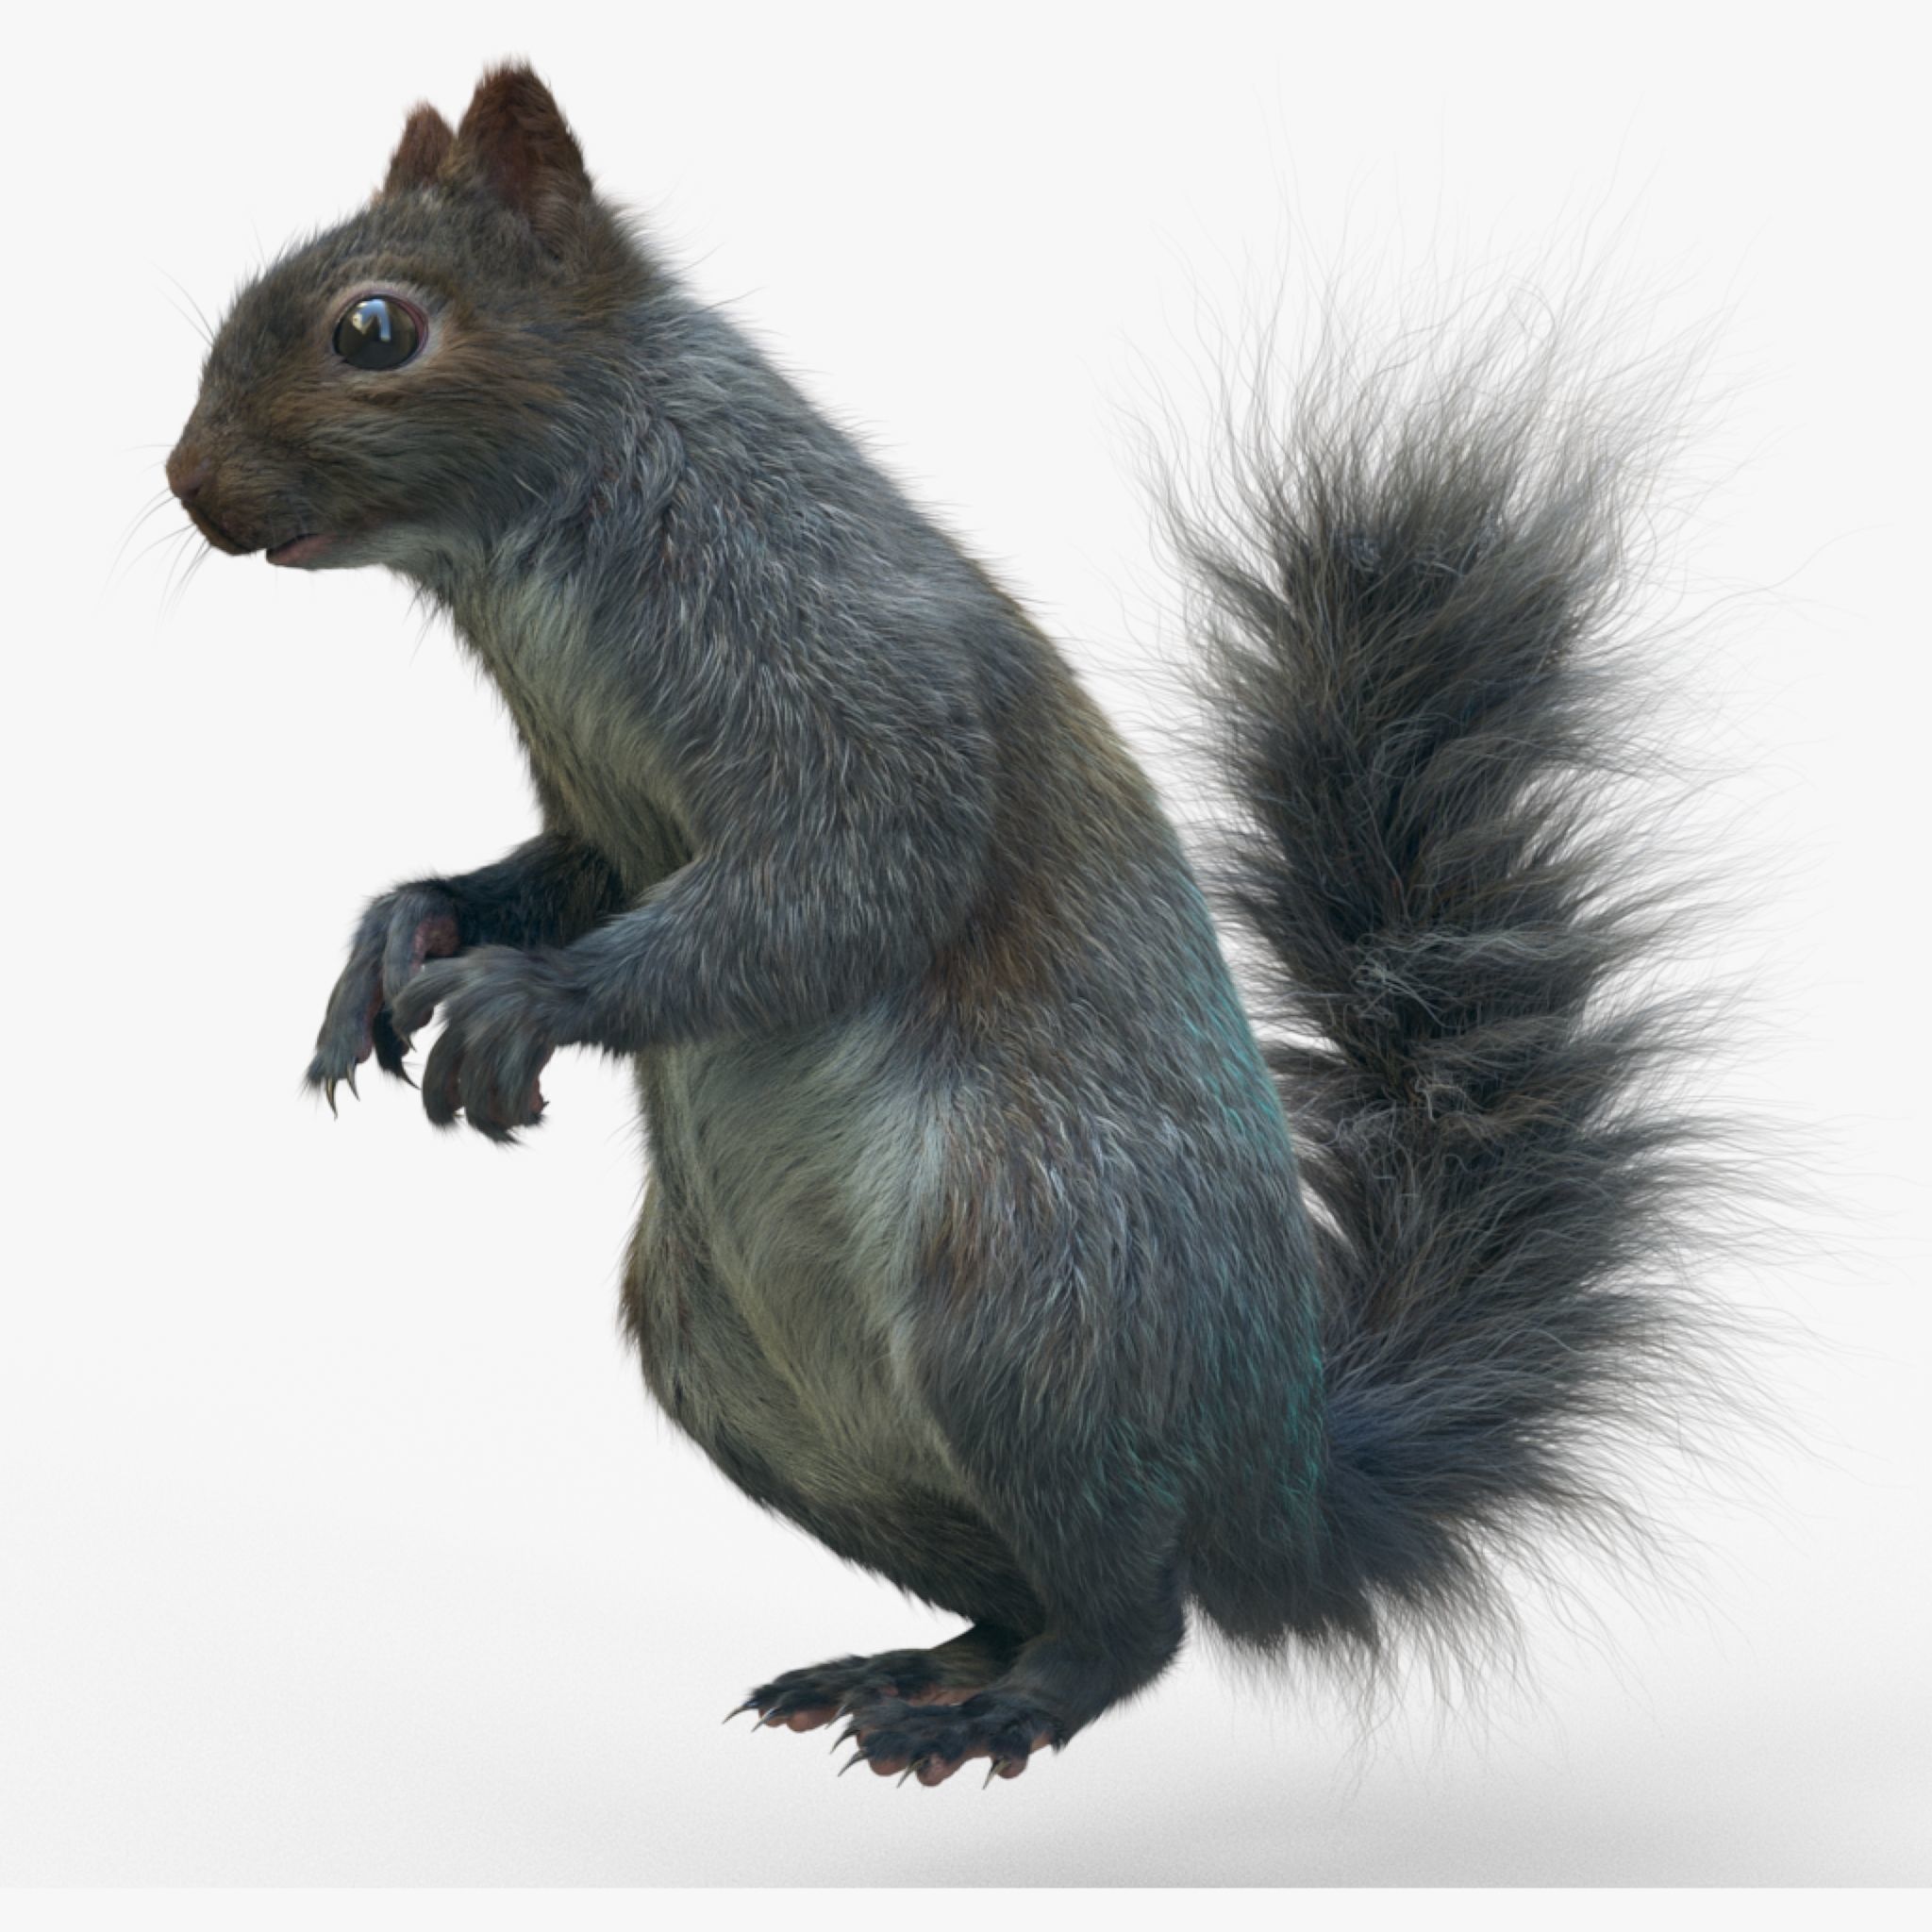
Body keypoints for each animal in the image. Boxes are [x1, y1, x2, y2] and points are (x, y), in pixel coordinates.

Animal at [166, 64, 1726, 1788]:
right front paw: (399, 941)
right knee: (1027, 1581)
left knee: (1137, 1615)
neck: (524, 558)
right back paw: (909, 1664)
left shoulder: (841, 657)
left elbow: (855, 873)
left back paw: (1003, 1705)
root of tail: (1281, 1475)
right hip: (730, 1359)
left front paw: (530, 997)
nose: (188, 486)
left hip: (1030, 1286)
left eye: (373, 329)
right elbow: (568, 872)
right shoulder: (601, 807)